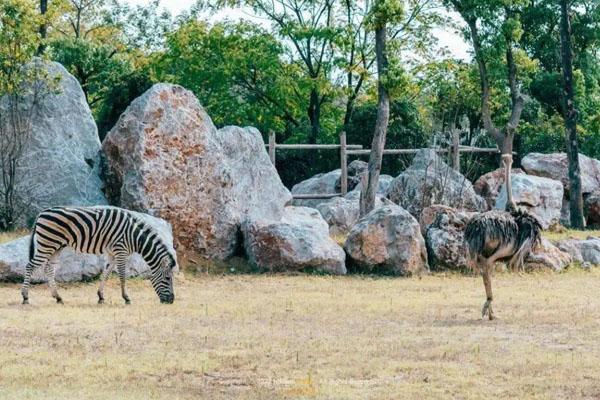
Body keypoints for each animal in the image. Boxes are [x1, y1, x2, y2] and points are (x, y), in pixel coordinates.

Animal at [23, 206, 178, 306]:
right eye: (168, 278)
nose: (171, 301)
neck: (134, 236)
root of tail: (42, 212)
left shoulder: (112, 253)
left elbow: (106, 273)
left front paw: (100, 296)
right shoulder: (120, 250)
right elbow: (122, 275)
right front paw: (126, 298)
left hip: (56, 246)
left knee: (49, 268)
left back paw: (58, 298)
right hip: (47, 243)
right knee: (30, 265)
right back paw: (25, 297)